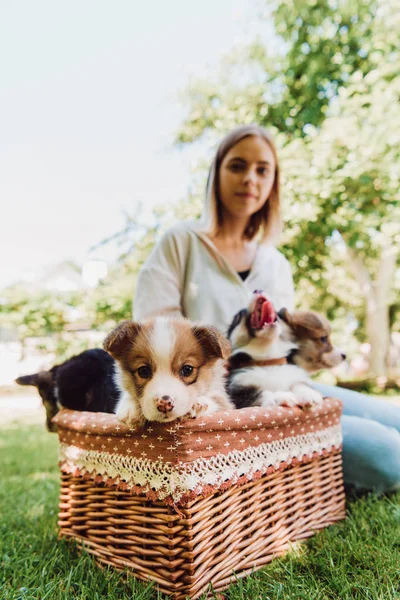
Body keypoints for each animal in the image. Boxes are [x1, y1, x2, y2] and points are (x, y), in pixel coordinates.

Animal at [104, 316, 234, 428]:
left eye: (187, 369)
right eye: (143, 371)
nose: (164, 404)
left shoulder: (225, 402)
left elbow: (218, 400)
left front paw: (200, 402)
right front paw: (130, 408)